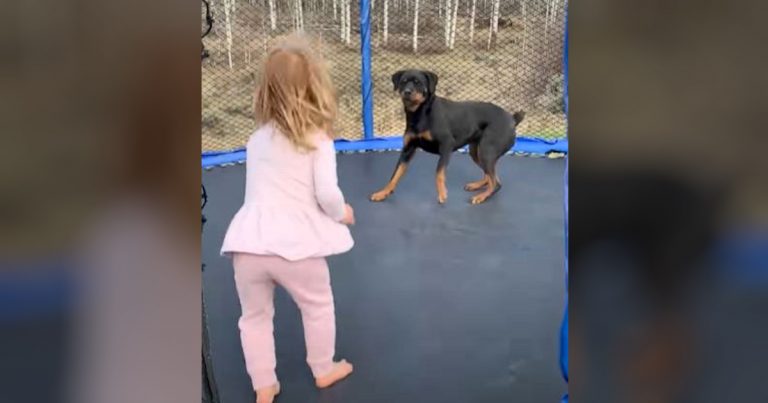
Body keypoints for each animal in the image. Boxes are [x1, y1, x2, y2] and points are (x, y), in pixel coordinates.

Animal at [368, 69, 524, 205]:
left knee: (496, 183)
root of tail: (512, 119)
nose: (407, 92)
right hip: (477, 152)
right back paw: (477, 186)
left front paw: (442, 193)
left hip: (487, 151)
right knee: (491, 176)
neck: (420, 113)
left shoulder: (446, 145)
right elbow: (395, 175)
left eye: (418, 82)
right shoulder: (407, 150)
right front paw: (383, 192)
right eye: (403, 82)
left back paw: (481, 196)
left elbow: (439, 172)